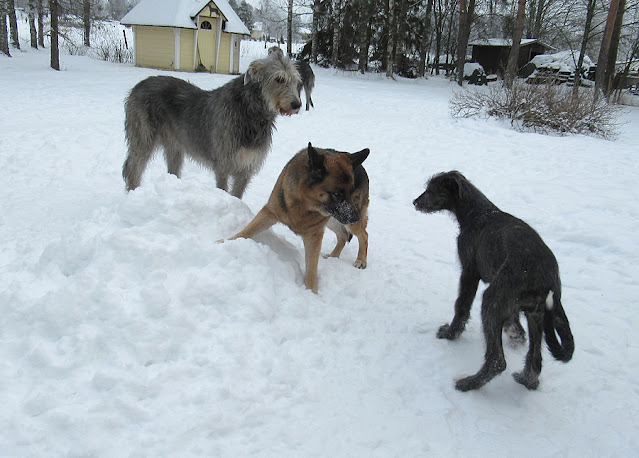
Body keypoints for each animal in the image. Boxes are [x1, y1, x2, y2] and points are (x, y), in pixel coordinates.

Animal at [122, 50, 302, 198]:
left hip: (175, 145)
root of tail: (137, 87)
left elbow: (237, 195)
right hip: (143, 136)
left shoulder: (246, 167)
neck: (249, 111)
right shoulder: (222, 164)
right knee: (133, 168)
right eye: (279, 79)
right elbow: (223, 189)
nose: (297, 104)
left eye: (295, 81)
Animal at [226, 143, 369, 293]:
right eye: (337, 193)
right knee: (343, 235)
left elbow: (311, 269)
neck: (303, 204)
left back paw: (361, 260)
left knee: (363, 235)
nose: (355, 217)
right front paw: (224, 242)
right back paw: (333, 256)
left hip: (344, 221)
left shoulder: (314, 235)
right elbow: (246, 231)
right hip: (335, 220)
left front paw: (311, 293)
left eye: (351, 191)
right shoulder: (269, 212)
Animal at [413, 171, 574, 391]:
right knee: (535, 360)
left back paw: (468, 383)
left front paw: (450, 333)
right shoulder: (507, 299)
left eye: (431, 190)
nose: (415, 202)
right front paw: (516, 333)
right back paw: (526, 379)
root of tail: (546, 279)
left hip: (491, 300)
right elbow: (513, 320)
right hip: (536, 313)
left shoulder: (470, 272)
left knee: (498, 361)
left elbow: (461, 305)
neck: (479, 214)